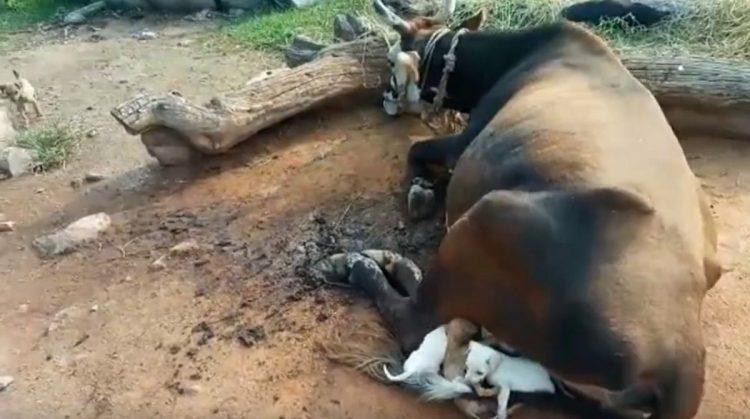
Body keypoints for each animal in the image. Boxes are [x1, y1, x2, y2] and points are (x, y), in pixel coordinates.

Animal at [346, 1, 724, 418]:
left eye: (391, 58)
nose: (384, 97)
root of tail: (678, 368)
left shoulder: (463, 143)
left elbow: (417, 150)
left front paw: (419, 191)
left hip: (489, 216)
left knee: (416, 321)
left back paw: (368, 266)